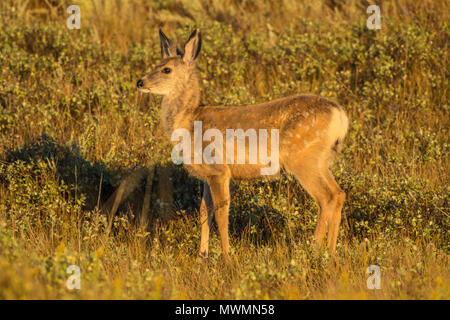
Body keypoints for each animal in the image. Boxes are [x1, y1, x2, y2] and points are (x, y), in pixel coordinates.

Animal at [135, 28, 350, 262]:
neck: (189, 121)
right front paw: (202, 256)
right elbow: (204, 211)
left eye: (166, 69)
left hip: (303, 158)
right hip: (320, 160)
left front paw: (227, 257)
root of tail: (339, 114)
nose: (140, 82)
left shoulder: (219, 170)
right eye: (157, 63)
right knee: (338, 194)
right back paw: (331, 252)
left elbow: (222, 212)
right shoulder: (207, 175)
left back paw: (313, 251)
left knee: (325, 197)